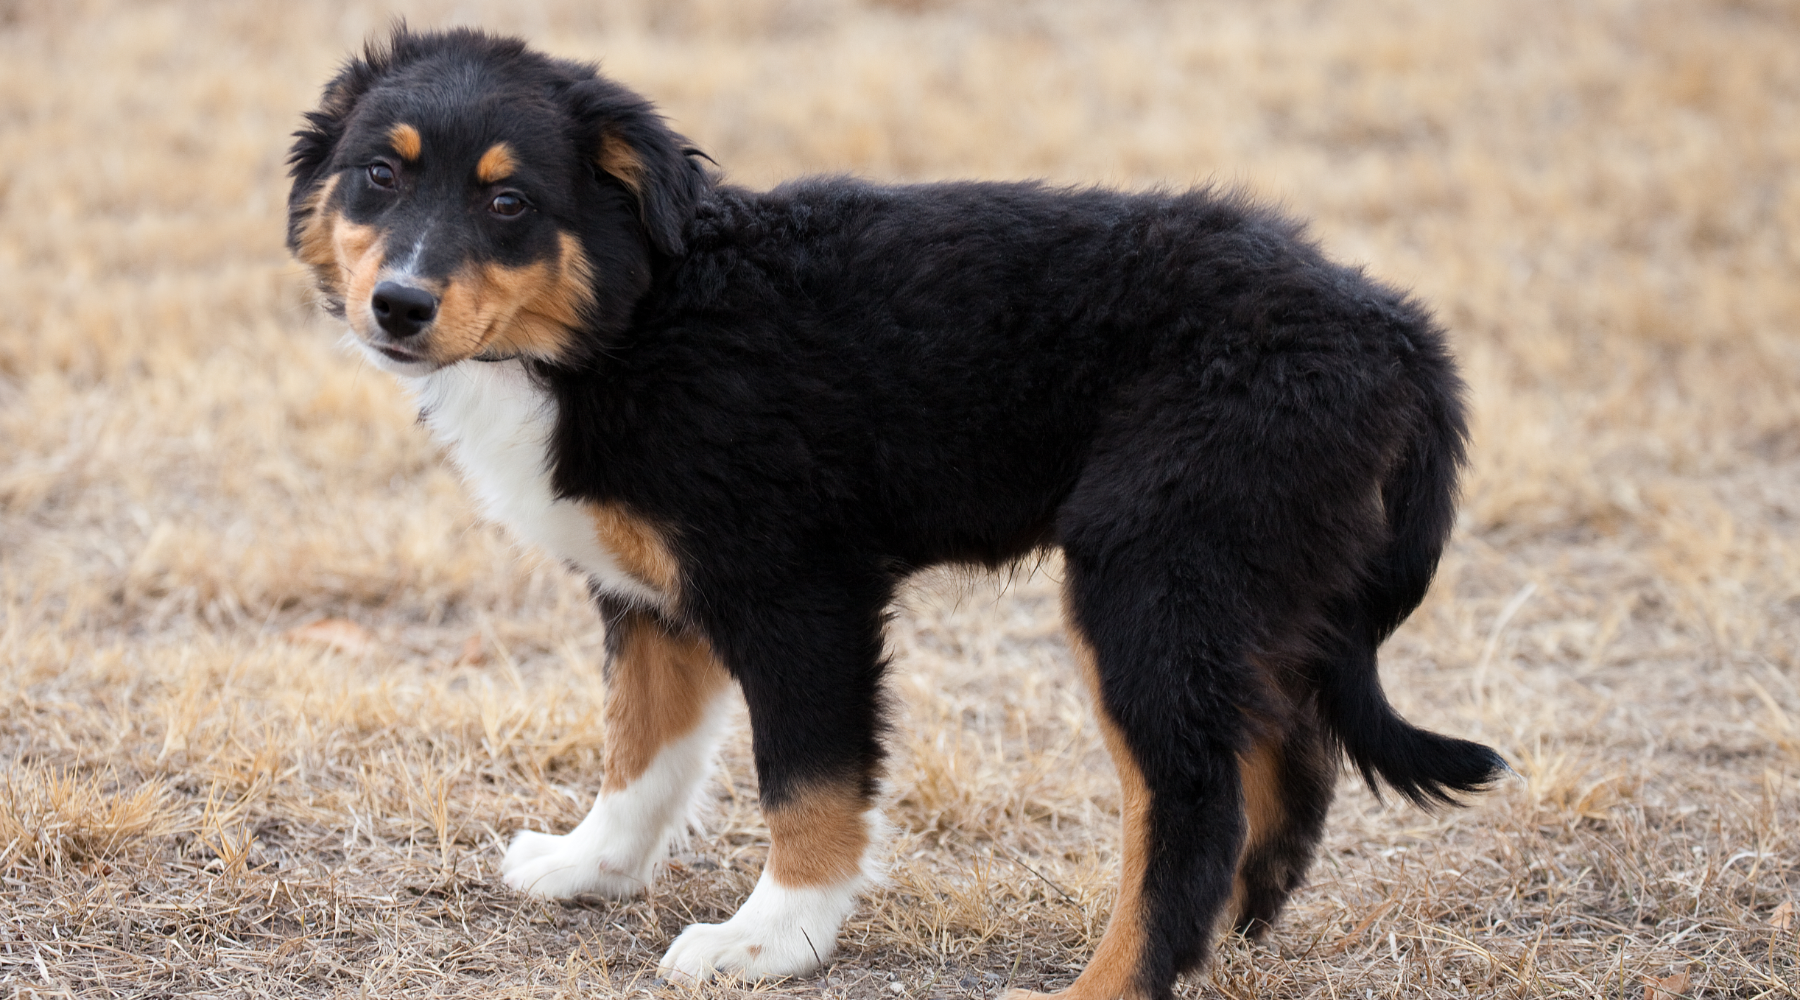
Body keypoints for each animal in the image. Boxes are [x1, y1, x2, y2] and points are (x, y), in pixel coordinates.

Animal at [288, 27, 1512, 992]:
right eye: (378, 178)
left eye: (509, 203)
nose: (398, 305)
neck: (642, 320)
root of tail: (1389, 327)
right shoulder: (651, 595)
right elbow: (645, 747)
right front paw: (594, 866)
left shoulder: (801, 593)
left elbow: (810, 782)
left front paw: (768, 939)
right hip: (1245, 588)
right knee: (1286, 762)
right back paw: (1237, 937)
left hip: (1146, 577)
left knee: (1193, 805)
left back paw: (1113, 981)